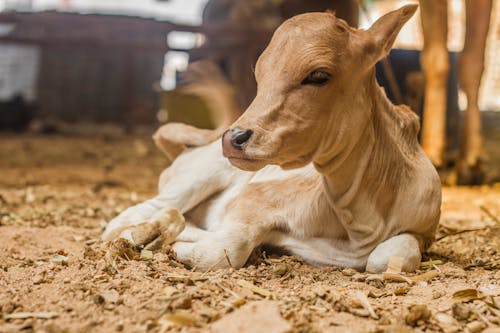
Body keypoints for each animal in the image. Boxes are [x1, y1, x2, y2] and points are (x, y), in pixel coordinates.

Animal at [102, 5, 442, 272]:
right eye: (260, 74)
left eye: (318, 75)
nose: (234, 137)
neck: (360, 225)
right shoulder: (256, 197)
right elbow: (223, 250)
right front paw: (165, 242)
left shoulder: (421, 230)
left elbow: (388, 258)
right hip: (197, 176)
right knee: (129, 217)